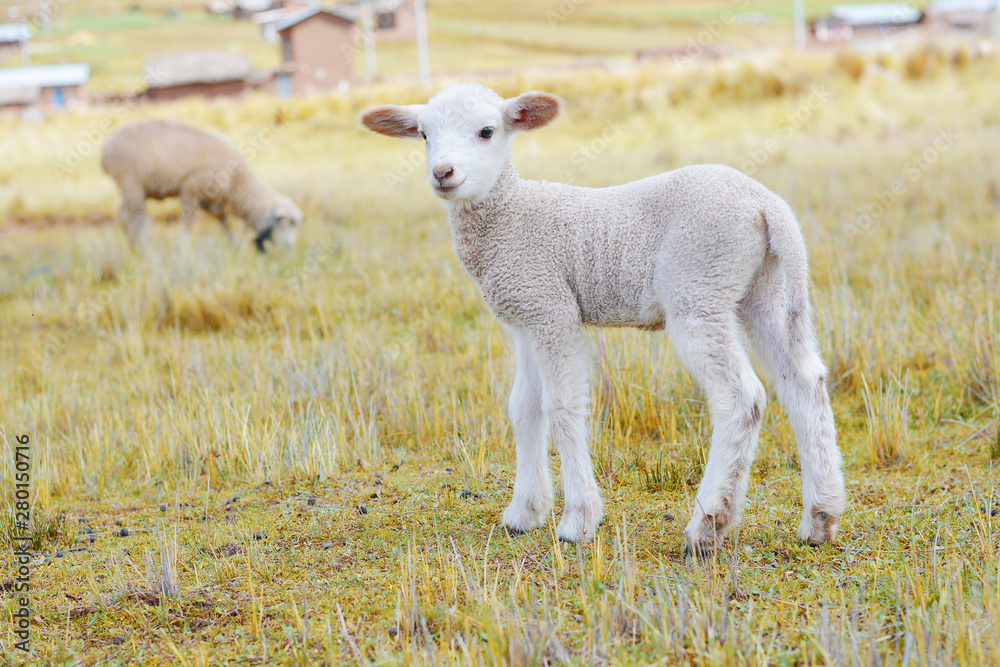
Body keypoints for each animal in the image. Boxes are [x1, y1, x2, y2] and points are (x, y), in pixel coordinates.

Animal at [100, 120, 300, 253]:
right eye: (289, 223)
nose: (291, 248)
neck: (238, 183)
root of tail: (105, 148)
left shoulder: (215, 201)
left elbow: (225, 225)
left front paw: (235, 247)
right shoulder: (191, 189)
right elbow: (188, 223)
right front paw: (180, 250)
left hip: (133, 188)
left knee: (123, 217)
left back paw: (135, 250)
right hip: (131, 182)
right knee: (136, 220)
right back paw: (147, 252)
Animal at [360, 82, 844, 552]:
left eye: (486, 131)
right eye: (424, 135)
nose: (443, 173)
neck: (511, 216)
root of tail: (767, 204)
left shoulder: (551, 309)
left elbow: (562, 407)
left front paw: (578, 520)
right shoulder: (526, 316)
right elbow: (524, 408)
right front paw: (524, 514)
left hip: (698, 287)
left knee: (742, 398)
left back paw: (707, 526)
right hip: (759, 289)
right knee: (804, 382)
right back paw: (819, 517)